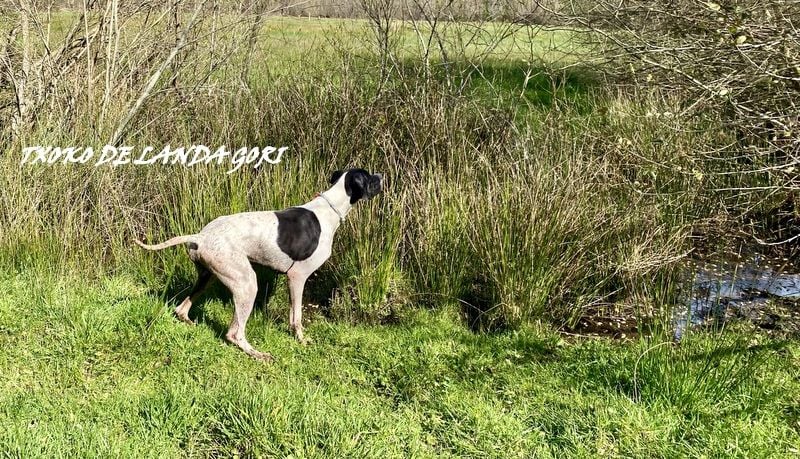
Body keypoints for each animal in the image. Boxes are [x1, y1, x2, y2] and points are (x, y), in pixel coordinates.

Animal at [135, 167, 384, 362]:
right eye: (369, 176)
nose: (382, 176)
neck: (327, 211)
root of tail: (201, 237)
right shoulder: (297, 276)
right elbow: (296, 318)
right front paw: (301, 340)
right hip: (246, 284)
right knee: (234, 333)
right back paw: (258, 354)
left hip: (208, 277)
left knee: (181, 308)